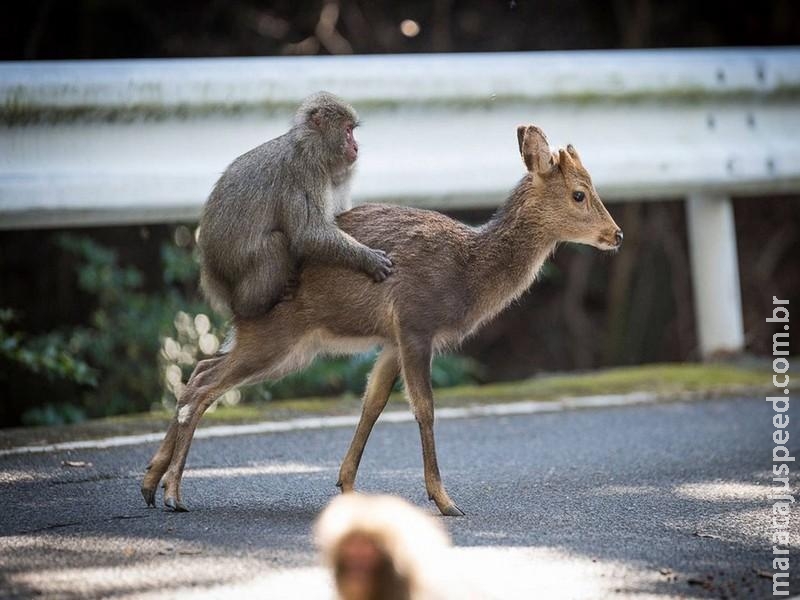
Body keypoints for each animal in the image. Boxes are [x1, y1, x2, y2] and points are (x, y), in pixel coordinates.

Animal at [141, 125, 620, 516]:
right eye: (580, 193)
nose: (616, 234)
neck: (466, 273)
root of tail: (233, 295)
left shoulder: (391, 339)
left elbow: (372, 403)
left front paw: (348, 487)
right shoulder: (415, 322)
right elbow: (424, 407)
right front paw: (445, 500)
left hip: (287, 346)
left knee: (199, 370)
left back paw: (150, 482)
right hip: (276, 335)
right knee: (204, 385)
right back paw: (173, 493)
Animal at [197, 91, 390, 318]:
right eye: (348, 131)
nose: (356, 147)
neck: (312, 148)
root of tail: (211, 271)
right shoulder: (305, 173)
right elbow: (308, 234)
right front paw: (367, 258)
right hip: (234, 268)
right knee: (275, 242)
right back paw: (251, 306)